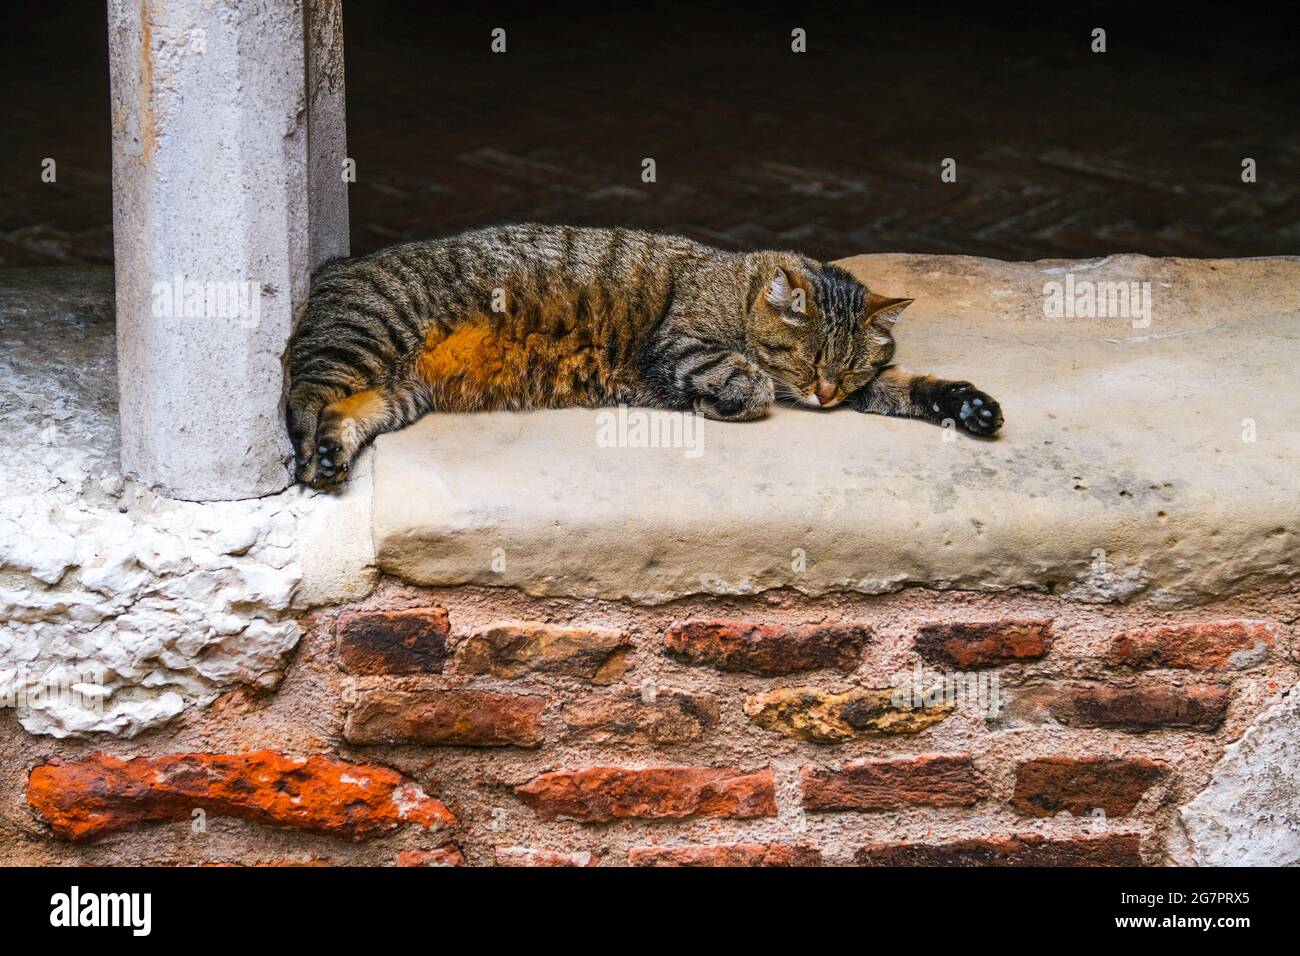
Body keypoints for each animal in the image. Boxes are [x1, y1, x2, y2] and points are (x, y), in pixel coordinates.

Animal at [287, 223, 1003, 486]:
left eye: (848, 370)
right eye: (807, 363)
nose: (825, 396)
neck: (738, 289)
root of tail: (334, 267)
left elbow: (908, 385)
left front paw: (965, 403)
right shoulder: (680, 344)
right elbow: (751, 386)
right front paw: (716, 402)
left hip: (397, 392)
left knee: (345, 413)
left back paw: (330, 453)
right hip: (366, 337)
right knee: (303, 394)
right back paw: (306, 452)